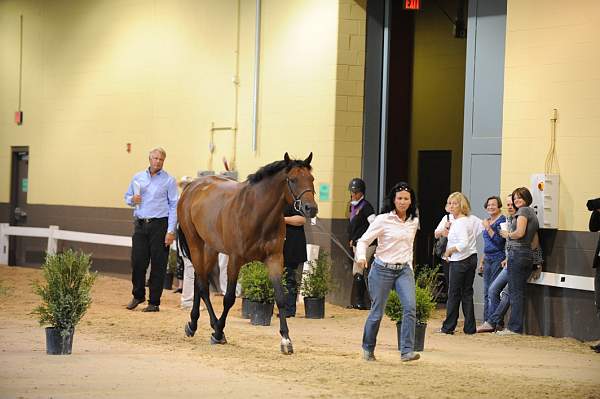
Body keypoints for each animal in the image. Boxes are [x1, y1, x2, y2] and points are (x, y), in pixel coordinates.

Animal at [177, 154, 318, 356]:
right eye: (292, 180)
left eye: (311, 179)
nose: (310, 208)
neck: (256, 211)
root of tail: (192, 187)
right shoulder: (235, 260)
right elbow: (228, 298)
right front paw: (218, 333)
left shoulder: (275, 259)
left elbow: (280, 298)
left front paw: (286, 340)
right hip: (195, 243)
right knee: (203, 285)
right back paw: (212, 327)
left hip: (211, 248)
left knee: (199, 281)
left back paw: (193, 324)